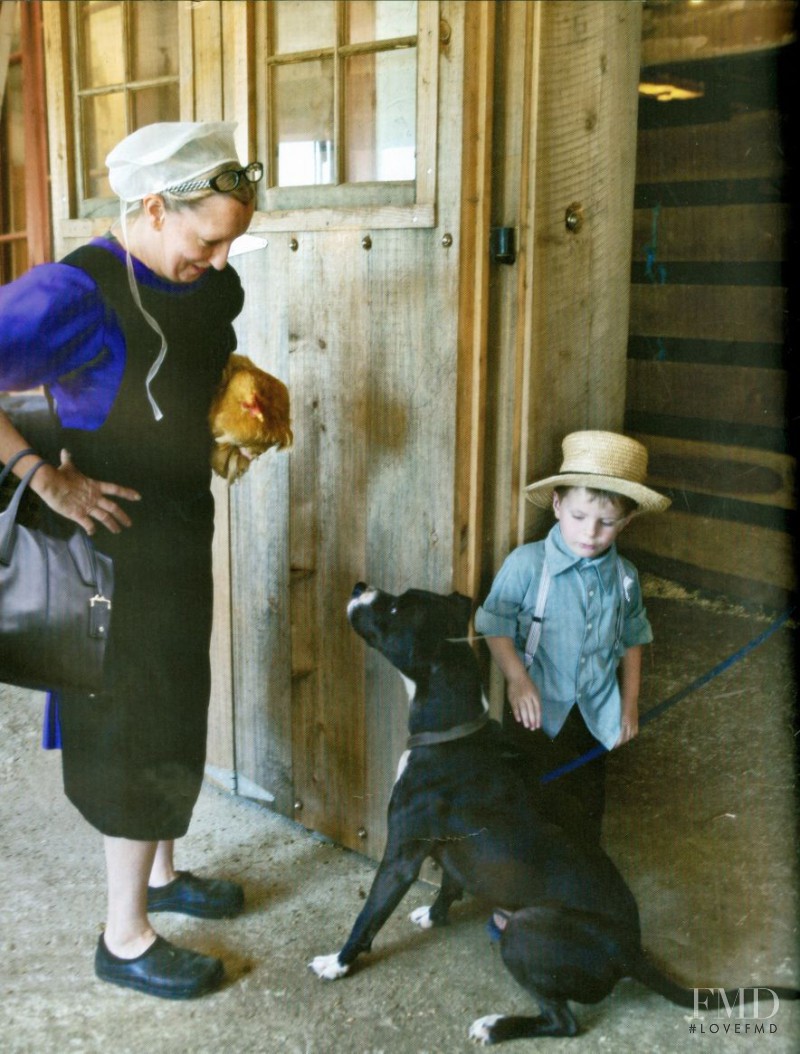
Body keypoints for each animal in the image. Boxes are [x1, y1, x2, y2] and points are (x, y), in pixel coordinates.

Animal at [309, 590, 796, 1041]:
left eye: (394, 608)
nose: (357, 586)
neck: (452, 730)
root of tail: (629, 951)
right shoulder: (449, 852)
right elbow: (449, 882)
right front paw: (435, 914)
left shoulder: (400, 858)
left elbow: (368, 917)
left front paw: (337, 963)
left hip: (525, 930)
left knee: (563, 1022)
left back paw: (495, 1026)